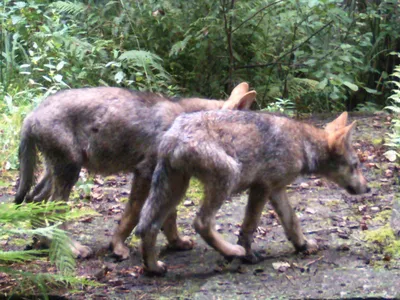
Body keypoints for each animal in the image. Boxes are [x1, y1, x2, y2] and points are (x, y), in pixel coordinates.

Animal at [14, 83, 256, 258]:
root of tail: (31, 116)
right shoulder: (145, 173)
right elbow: (131, 215)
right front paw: (118, 247)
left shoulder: (170, 177)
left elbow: (169, 216)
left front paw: (176, 243)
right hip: (69, 172)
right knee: (52, 209)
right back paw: (72, 248)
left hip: (55, 172)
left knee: (34, 200)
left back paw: (43, 240)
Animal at [136, 110, 370, 274]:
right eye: (356, 165)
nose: (368, 188)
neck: (302, 144)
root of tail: (172, 134)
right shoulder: (262, 187)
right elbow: (249, 227)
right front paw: (247, 255)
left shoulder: (276, 190)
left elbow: (292, 222)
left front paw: (303, 245)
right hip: (228, 176)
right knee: (201, 222)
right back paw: (232, 251)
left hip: (176, 190)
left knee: (148, 227)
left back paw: (153, 268)